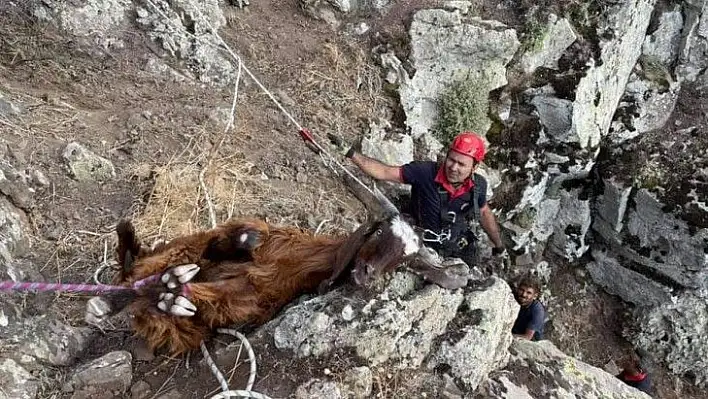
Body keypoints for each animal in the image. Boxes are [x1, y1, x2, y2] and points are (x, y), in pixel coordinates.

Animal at [85, 192, 424, 354]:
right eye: (378, 233)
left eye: (403, 261)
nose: (368, 275)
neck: (304, 260)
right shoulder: (255, 236)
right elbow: (245, 236)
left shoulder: (256, 298)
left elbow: (228, 300)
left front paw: (172, 292)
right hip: (180, 249)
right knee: (141, 271)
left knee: (157, 302)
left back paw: (166, 292)